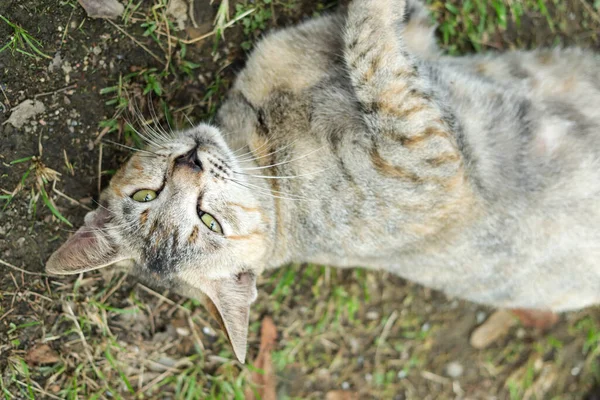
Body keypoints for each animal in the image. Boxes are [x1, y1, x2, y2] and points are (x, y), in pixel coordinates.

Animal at [45, 0, 600, 362]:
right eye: (210, 222)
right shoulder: (427, 156)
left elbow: (371, 34)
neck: (262, 136)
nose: (190, 163)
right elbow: (372, 54)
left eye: (146, 193)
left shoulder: (409, 44)